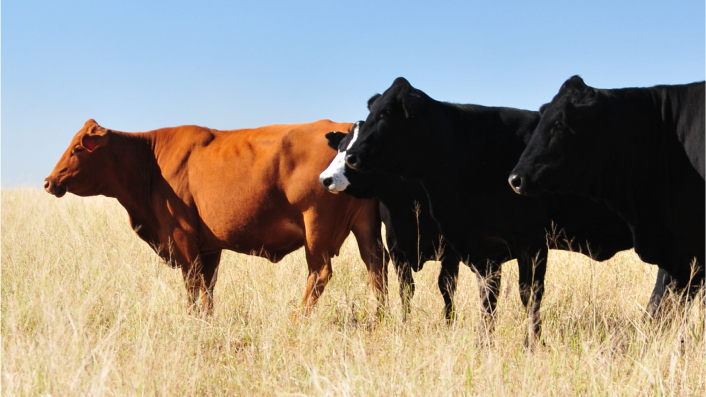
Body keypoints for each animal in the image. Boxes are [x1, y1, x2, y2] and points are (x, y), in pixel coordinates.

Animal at [45, 119, 384, 314]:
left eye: (78, 149)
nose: (49, 182)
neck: (150, 161)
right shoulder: (209, 246)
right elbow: (208, 289)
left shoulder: (182, 238)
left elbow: (193, 287)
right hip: (366, 227)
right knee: (376, 269)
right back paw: (379, 318)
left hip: (317, 226)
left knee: (319, 274)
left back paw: (298, 318)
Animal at [320, 120, 462, 318]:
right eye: (340, 146)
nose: (325, 179)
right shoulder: (396, 249)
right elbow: (406, 289)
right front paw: (405, 321)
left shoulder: (450, 252)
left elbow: (446, 288)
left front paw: (450, 321)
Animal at [340, 77, 640, 338]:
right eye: (372, 111)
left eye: (387, 113)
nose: (352, 156)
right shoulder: (484, 252)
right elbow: (487, 300)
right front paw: (485, 342)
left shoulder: (532, 243)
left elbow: (529, 295)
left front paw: (532, 342)